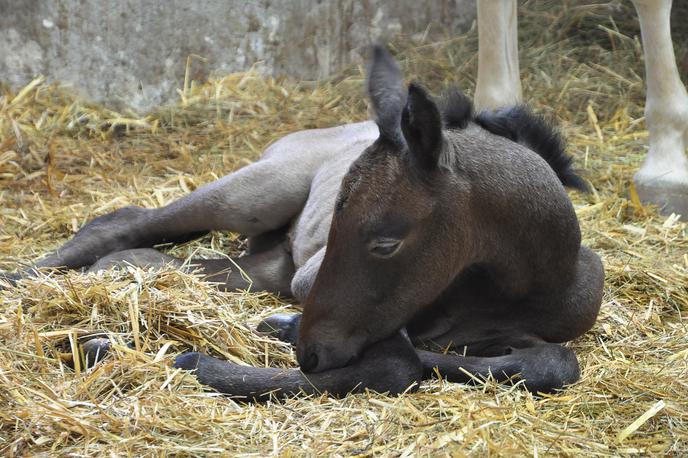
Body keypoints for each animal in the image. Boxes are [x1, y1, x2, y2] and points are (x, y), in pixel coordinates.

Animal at [0, 45, 600, 398]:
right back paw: (21, 278)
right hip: (258, 191)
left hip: (265, 262)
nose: (311, 350)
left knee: (156, 257)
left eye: (385, 243)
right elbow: (396, 361)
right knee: (123, 224)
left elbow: (550, 362)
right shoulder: (316, 284)